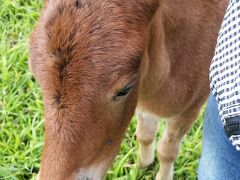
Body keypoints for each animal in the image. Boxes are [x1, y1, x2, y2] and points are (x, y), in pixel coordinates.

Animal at [29, 0, 228, 179]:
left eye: (124, 90)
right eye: (35, 76)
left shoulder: (191, 108)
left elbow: (167, 151)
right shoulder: (141, 104)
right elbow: (145, 134)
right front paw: (142, 165)